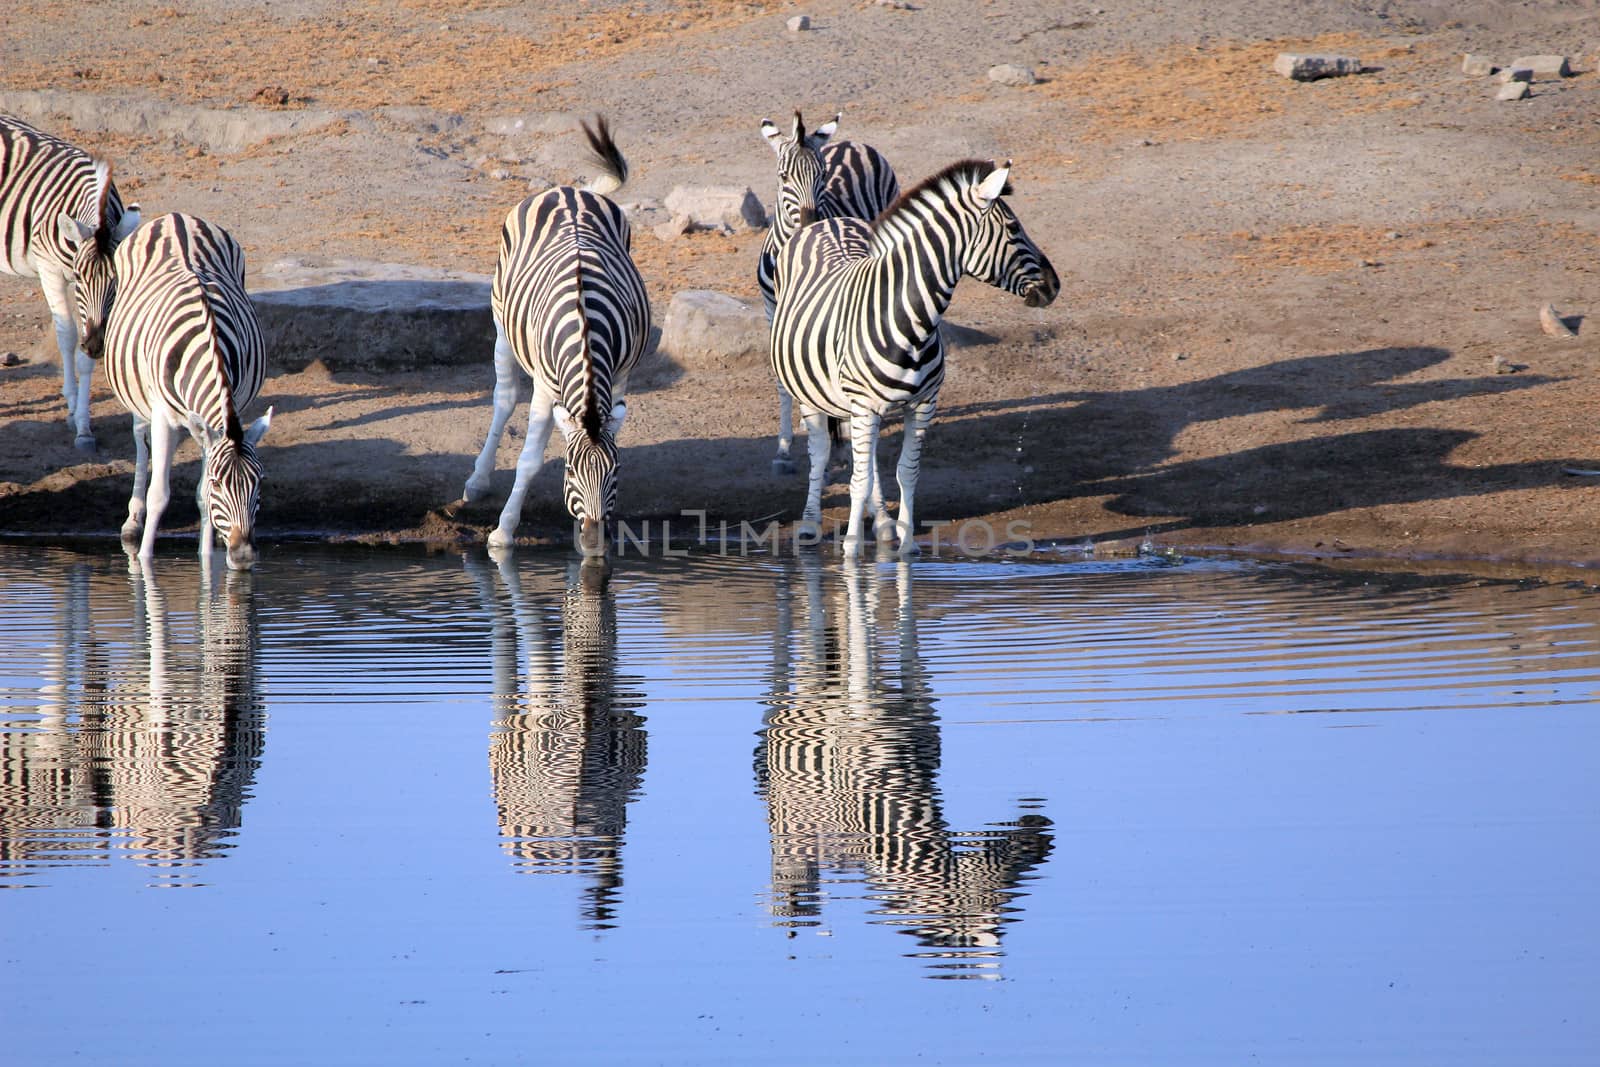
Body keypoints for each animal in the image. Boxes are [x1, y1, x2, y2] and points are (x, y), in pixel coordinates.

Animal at [0, 115, 140, 451]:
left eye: (117, 283)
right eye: (79, 277)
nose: (96, 345)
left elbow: (83, 356)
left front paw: (83, 425)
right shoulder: (51, 270)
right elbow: (66, 336)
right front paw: (73, 406)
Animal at [98, 211, 272, 572]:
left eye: (260, 482)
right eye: (220, 482)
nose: (244, 557)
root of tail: (178, 217)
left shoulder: (217, 422)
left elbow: (201, 496)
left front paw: (207, 561)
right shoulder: (164, 418)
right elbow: (159, 494)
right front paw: (144, 563)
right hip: (139, 397)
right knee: (141, 441)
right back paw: (132, 523)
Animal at [460, 115, 646, 559]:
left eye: (615, 472)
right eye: (570, 470)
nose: (595, 544)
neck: (588, 335)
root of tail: (569, 190)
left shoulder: (622, 375)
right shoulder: (546, 388)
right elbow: (528, 460)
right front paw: (503, 532)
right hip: (502, 326)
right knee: (504, 399)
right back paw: (478, 481)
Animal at [752, 110, 896, 473]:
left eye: (822, 175)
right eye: (783, 176)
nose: (810, 221)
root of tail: (852, 143)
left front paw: (841, 444)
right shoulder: (773, 311)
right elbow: (784, 379)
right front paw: (784, 445)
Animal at [774, 160, 1062, 559]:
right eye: (1014, 228)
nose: (1055, 286)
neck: (910, 320)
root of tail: (826, 222)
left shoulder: (923, 404)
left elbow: (905, 471)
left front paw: (907, 545)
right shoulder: (864, 405)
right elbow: (856, 480)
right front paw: (851, 550)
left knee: (868, 461)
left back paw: (881, 522)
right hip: (811, 394)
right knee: (820, 452)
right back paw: (810, 523)